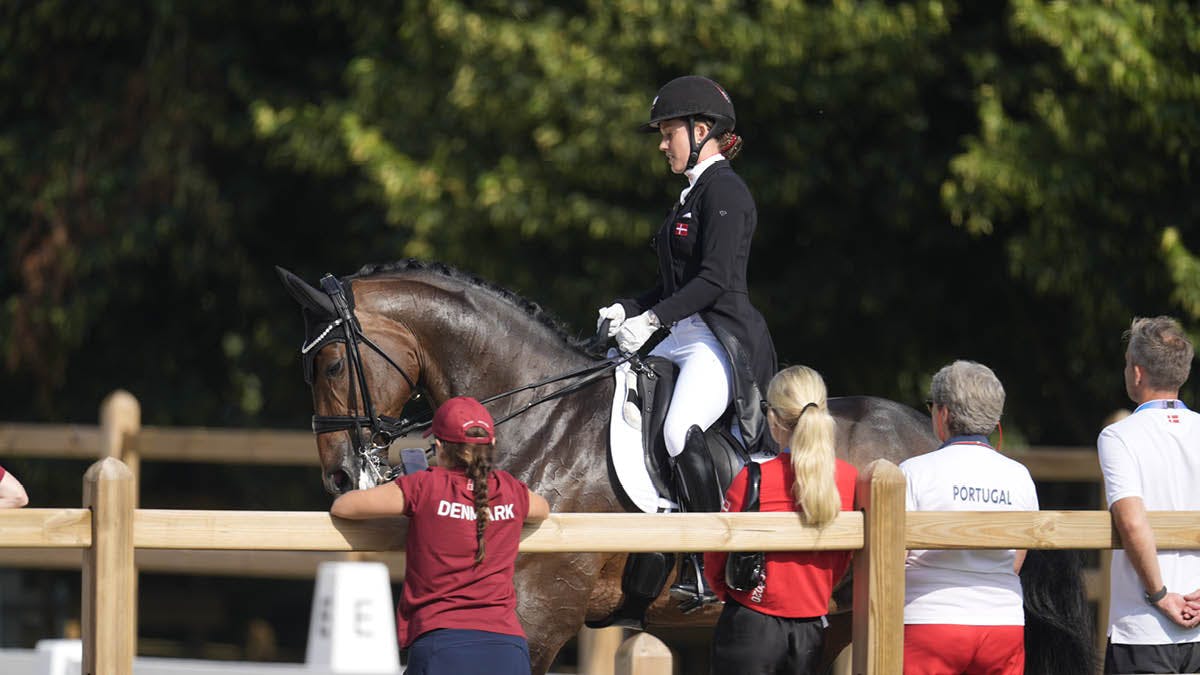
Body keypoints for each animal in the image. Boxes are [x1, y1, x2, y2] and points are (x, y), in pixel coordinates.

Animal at [278, 258, 1099, 672]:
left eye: (330, 365)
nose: (342, 478)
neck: (540, 417)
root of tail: (934, 434)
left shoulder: (541, 611)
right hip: (836, 622)